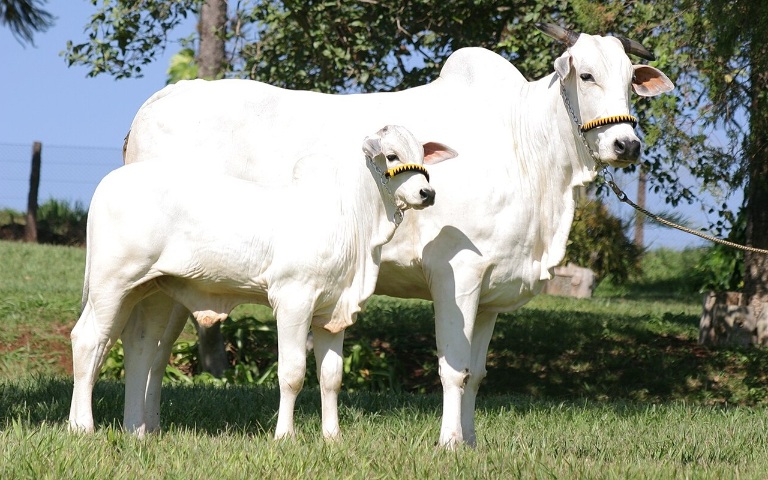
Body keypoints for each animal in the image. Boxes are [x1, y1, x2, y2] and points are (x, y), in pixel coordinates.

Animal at [68, 125, 458, 439]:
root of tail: (109, 182)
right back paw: (82, 427)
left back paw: (136, 430)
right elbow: (293, 372)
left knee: (139, 347)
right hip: (111, 282)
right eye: (391, 155)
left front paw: (332, 437)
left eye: (422, 155)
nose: (427, 194)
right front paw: (285, 436)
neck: (354, 222)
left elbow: (331, 376)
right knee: (88, 340)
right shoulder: (293, 299)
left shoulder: (333, 310)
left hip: (152, 290)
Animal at [121, 23, 674, 447]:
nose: (626, 144)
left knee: (155, 348)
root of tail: (155, 104)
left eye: (631, 80)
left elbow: (478, 373)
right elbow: (453, 367)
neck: (530, 157)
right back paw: (137, 429)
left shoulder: (494, 292)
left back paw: (146, 429)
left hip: (173, 280)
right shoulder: (457, 272)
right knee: (143, 343)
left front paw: (471, 441)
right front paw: (449, 443)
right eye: (586, 74)